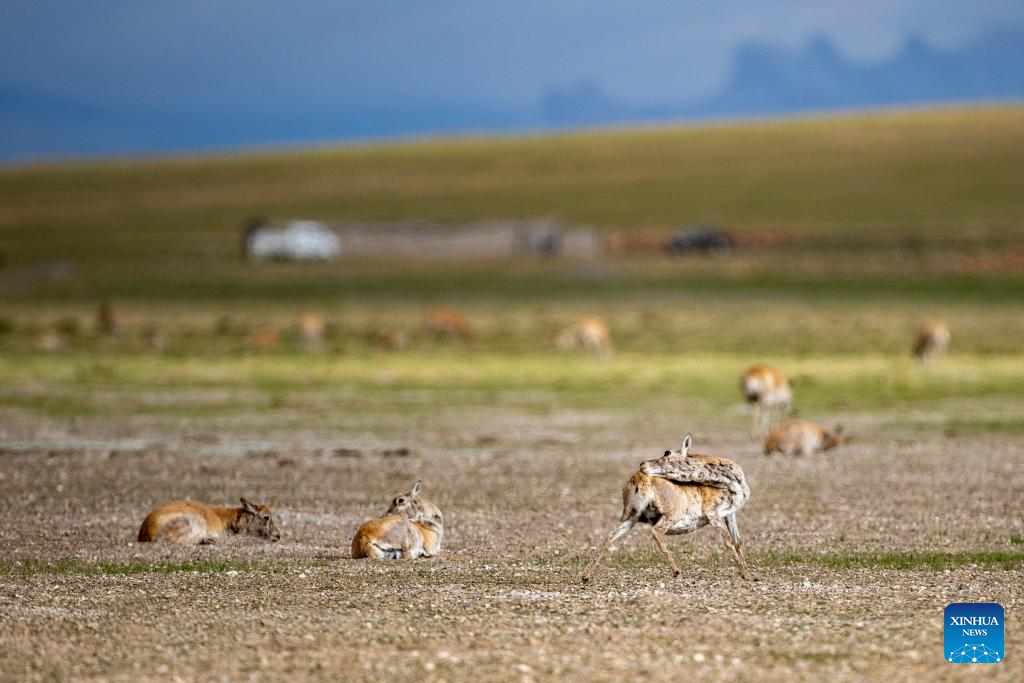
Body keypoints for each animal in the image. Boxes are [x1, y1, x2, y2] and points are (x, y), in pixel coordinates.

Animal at [585, 438, 753, 581]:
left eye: (667, 452)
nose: (643, 464)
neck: (730, 484)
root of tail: (637, 480)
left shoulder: (730, 513)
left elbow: (737, 541)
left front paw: (749, 573)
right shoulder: (713, 514)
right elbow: (727, 540)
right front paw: (747, 575)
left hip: (631, 517)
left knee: (609, 536)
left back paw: (585, 576)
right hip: (670, 516)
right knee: (656, 532)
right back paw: (677, 571)